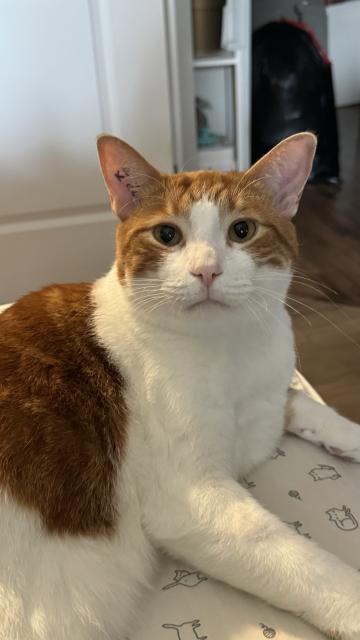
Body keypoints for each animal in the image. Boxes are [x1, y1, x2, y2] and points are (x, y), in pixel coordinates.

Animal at [0, 131, 360, 640]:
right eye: (167, 235)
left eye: (242, 230)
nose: (206, 270)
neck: (230, 349)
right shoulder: (190, 498)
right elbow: (301, 562)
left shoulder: (264, 404)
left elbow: (297, 404)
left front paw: (348, 437)